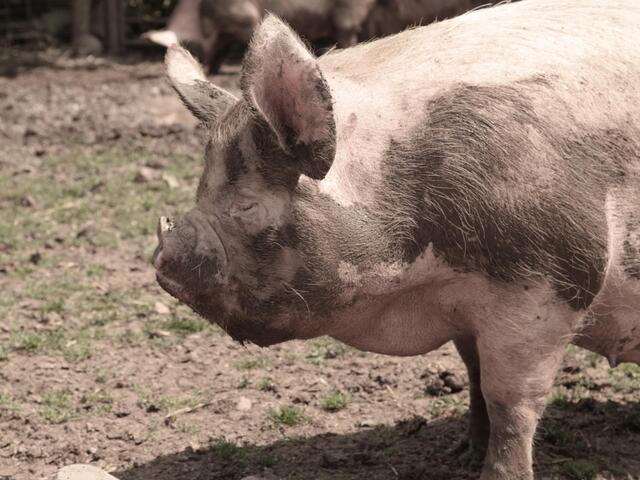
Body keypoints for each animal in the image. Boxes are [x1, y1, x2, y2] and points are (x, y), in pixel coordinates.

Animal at [145, 0, 377, 72]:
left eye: (190, 46)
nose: (200, 67)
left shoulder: (244, 18)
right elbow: (221, 49)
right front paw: (213, 70)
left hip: (346, 15)